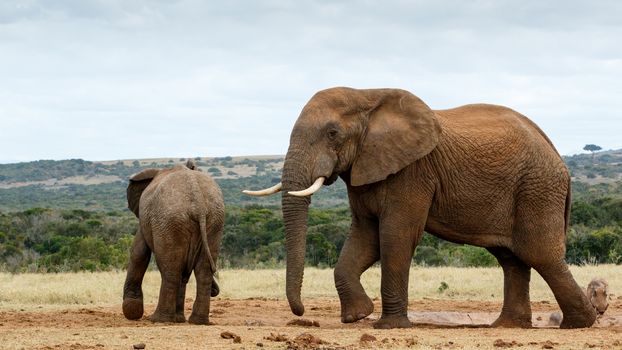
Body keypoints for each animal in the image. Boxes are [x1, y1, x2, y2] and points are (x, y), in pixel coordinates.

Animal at [122, 160, 224, 324]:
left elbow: (139, 252)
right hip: (214, 222)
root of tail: (198, 205)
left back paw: (159, 319)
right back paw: (197, 321)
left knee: (171, 269)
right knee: (202, 271)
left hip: (169, 221)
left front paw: (132, 311)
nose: (215, 291)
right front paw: (179, 318)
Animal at [245, 87, 600, 328]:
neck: (367, 95)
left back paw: (580, 324)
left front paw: (387, 326)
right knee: (511, 258)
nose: (301, 312)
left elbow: (394, 236)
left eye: (332, 133)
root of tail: (557, 155)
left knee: (539, 254)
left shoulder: (412, 172)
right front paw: (357, 316)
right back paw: (507, 326)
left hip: (536, 188)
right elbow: (365, 238)